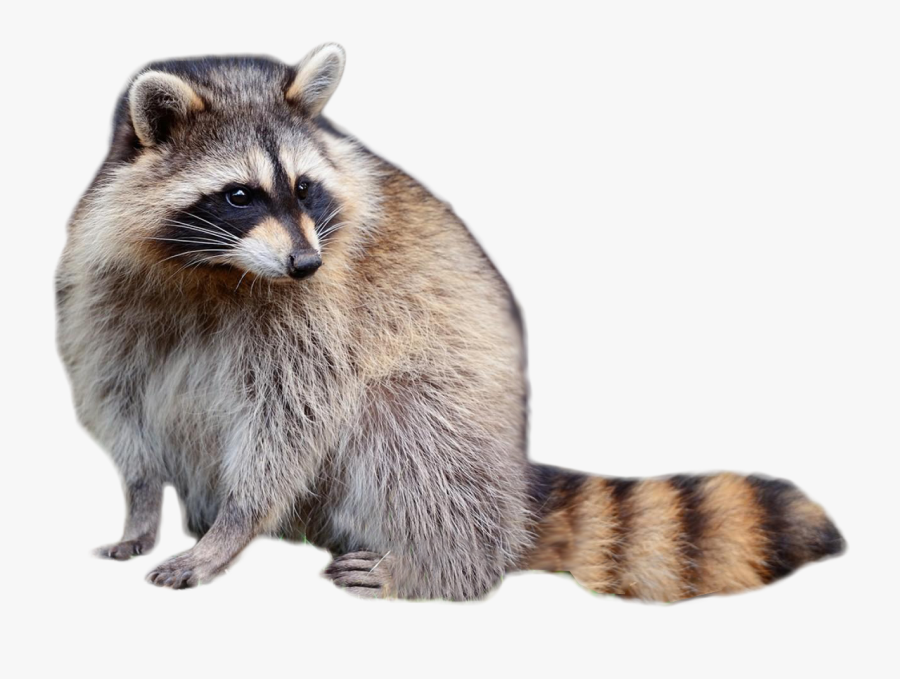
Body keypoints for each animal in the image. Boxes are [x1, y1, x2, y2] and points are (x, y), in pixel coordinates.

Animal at [56, 44, 845, 601]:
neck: (217, 269)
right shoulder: (104, 290)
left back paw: (435, 567)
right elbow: (119, 402)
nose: (306, 262)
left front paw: (232, 528)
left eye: (305, 188)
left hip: (459, 429)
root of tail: (515, 492)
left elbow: (291, 421)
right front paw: (140, 508)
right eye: (239, 194)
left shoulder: (319, 313)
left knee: (405, 429)